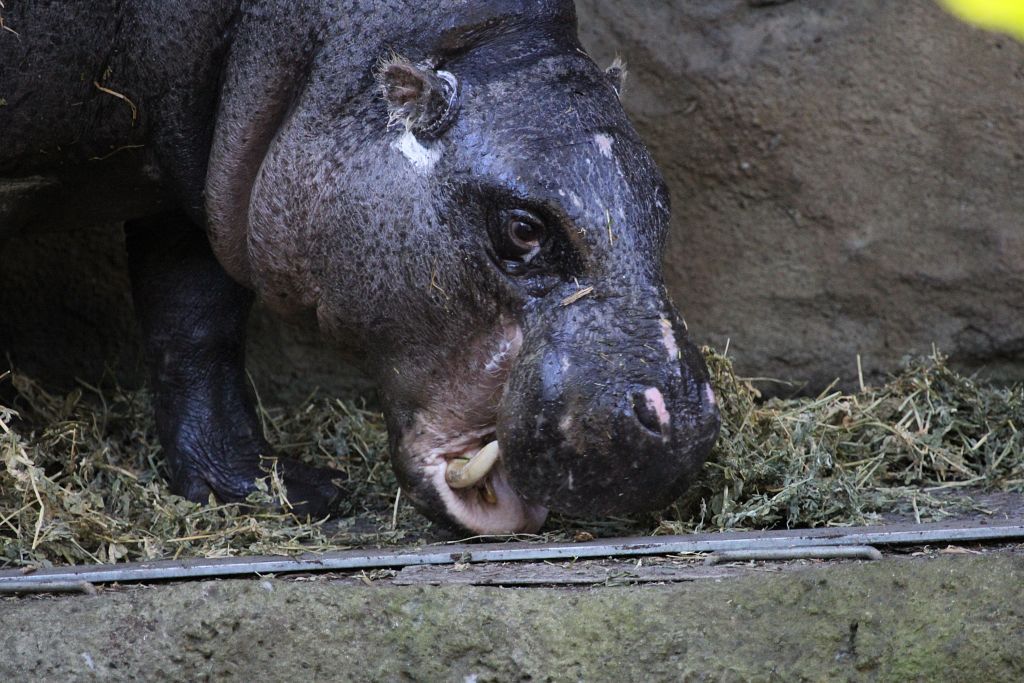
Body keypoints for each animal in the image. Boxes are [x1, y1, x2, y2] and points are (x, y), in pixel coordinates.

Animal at [0, 1, 720, 532]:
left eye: (662, 202)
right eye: (522, 228)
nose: (681, 424)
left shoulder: (196, 186)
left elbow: (195, 326)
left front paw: (283, 489)